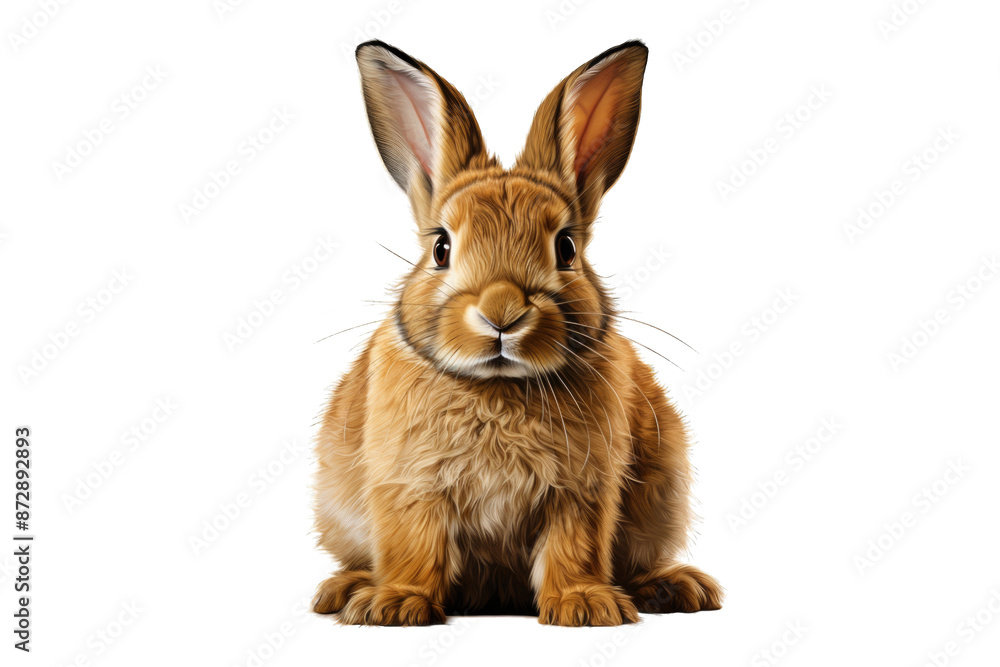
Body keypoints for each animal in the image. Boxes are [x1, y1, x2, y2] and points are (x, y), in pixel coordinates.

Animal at [312, 39, 723, 626]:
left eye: (566, 248)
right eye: (441, 248)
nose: (502, 311)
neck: (499, 386)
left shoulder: (581, 491)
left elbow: (573, 548)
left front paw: (583, 606)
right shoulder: (410, 486)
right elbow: (414, 545)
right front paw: (394, 605)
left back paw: (675, 588)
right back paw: (347, 589)